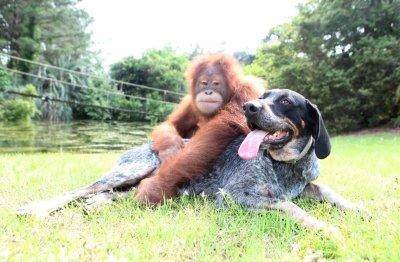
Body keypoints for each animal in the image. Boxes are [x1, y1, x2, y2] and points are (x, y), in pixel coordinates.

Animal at [18, 90, 366, 233]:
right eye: (262, 96)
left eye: (284, 101)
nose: (249, 107)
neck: (286, 166)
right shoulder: (235, 196)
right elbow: (288, 206)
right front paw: (323, 226)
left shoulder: (305, 185)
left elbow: (326, 191)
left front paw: (358, 209)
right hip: (139, 167)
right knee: (86, 188)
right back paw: (36, 208)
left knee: (121, 194)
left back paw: (97, 205)